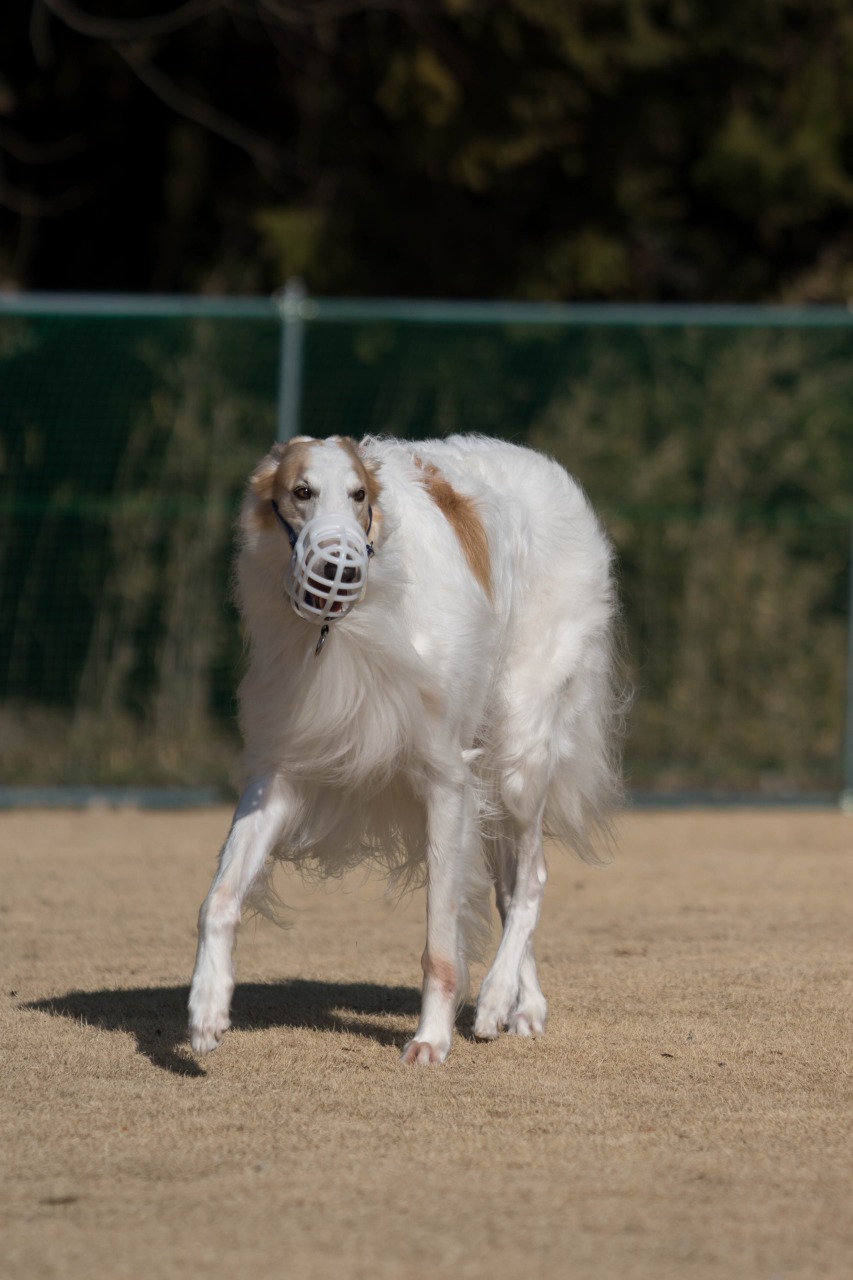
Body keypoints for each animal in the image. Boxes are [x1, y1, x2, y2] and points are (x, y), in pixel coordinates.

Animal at [189, 435, 622, 1064]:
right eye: (300, 492)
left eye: (359, 495)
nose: (336, 568)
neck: (357, 623)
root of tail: (549, 469)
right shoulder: (284, 771)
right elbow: (217, 900)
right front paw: (207, 1009)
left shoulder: (445, 778)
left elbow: (440, 940)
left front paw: (431, 1039)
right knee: (510, 887)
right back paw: (525, 1004)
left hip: (519, 753)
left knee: (533, 880)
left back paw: (495, 998)